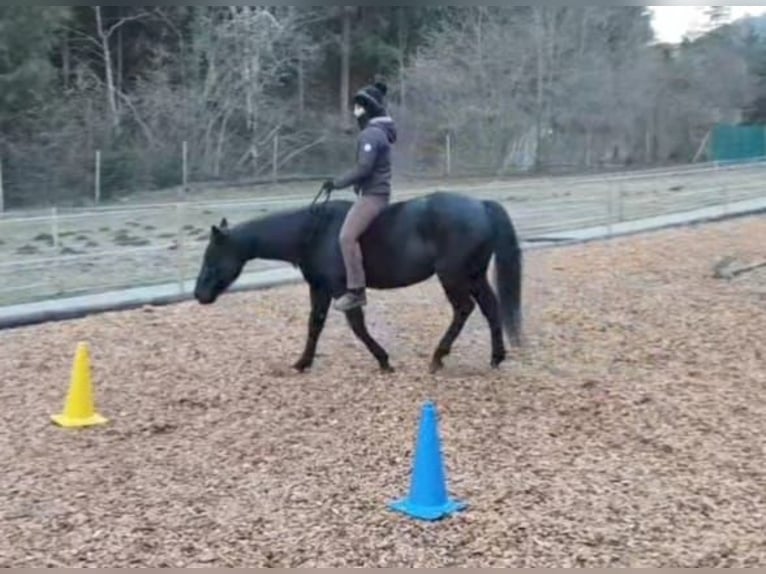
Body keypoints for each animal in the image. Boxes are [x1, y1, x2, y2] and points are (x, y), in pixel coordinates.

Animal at [193, 190, 523, 374]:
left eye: (210, 259)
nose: (199, 294)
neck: (313, 233)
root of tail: (481, 205)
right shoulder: (320, 289)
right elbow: (315, 324)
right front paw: (302, 363)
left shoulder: (343, 289)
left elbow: (357, 326)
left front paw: (384, 361)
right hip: (474, 275)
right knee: (490, 308)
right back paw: (496, 357)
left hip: (453, 277)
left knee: (463, 309)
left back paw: (438, 357)